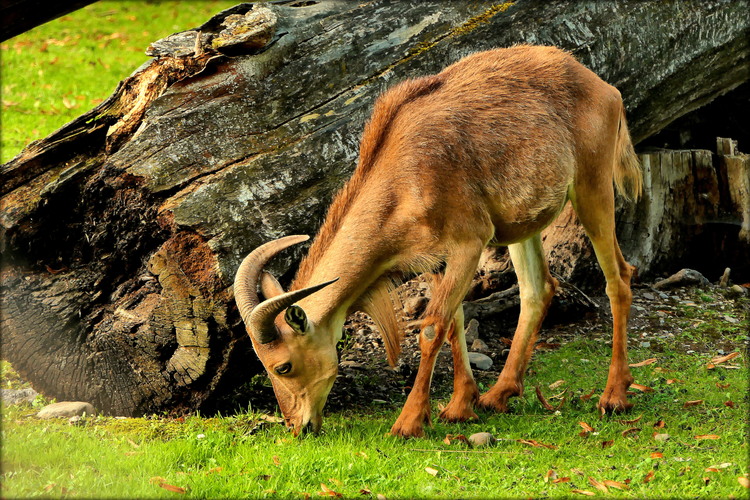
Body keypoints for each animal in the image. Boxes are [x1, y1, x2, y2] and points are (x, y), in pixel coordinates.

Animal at [236, 46, 648, 438]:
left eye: (283, 366)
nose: (297, 426)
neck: (402, 177)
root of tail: (604, 87)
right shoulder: (436, 260)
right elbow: (452, 322)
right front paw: (459, 406)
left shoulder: (468, 243)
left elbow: (433, 328)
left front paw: (409, 422)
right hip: (523, 224)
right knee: (538, 288)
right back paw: (499, 394)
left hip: (592, 187)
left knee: (619, 278)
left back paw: (614, 396)